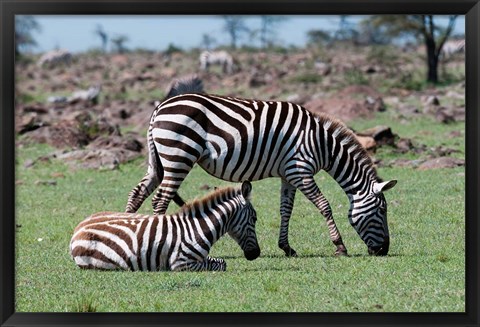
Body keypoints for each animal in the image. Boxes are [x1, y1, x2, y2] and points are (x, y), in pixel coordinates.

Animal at [70, 182, 260, 272]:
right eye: (255, 218)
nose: (255, 254)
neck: (198, 227)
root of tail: (79, 227)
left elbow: (220, 261)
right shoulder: (181, 263)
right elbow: (220, 265)